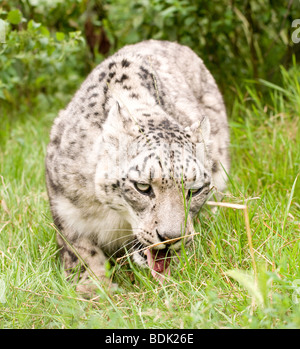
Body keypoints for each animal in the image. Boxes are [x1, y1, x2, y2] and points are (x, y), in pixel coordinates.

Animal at [45, 38, 230, 294]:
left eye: (194, 190)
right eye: (142, 186)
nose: (171, 237)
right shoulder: (67, 211)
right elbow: (82, 253)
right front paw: (94, 290)